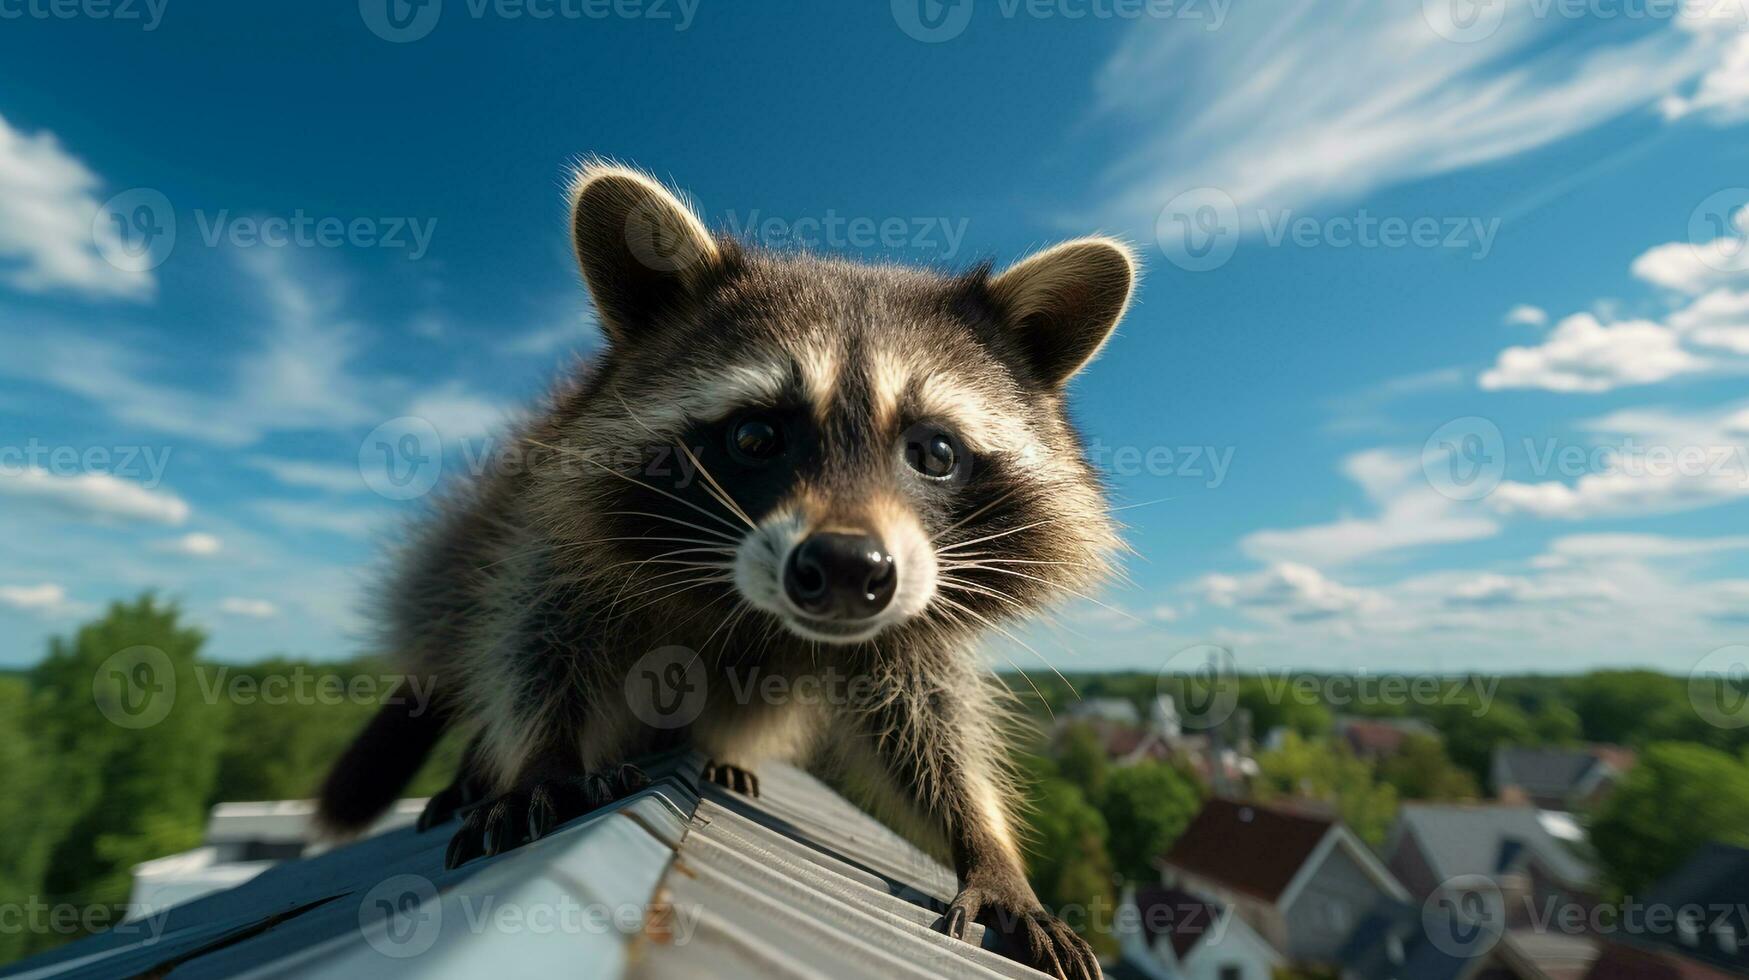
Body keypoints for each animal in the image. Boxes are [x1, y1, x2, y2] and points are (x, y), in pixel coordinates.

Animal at [314, 164, 1133, 973]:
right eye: (754, 436)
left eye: (934, 451)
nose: (846, 568)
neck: (746, 604)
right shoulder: (552, 522)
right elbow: (536, 633)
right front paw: (543, 756)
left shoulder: (910, 596)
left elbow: (924, 718)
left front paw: (983, 840)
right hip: (474, 528)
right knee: (461, 615)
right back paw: (478, 765)